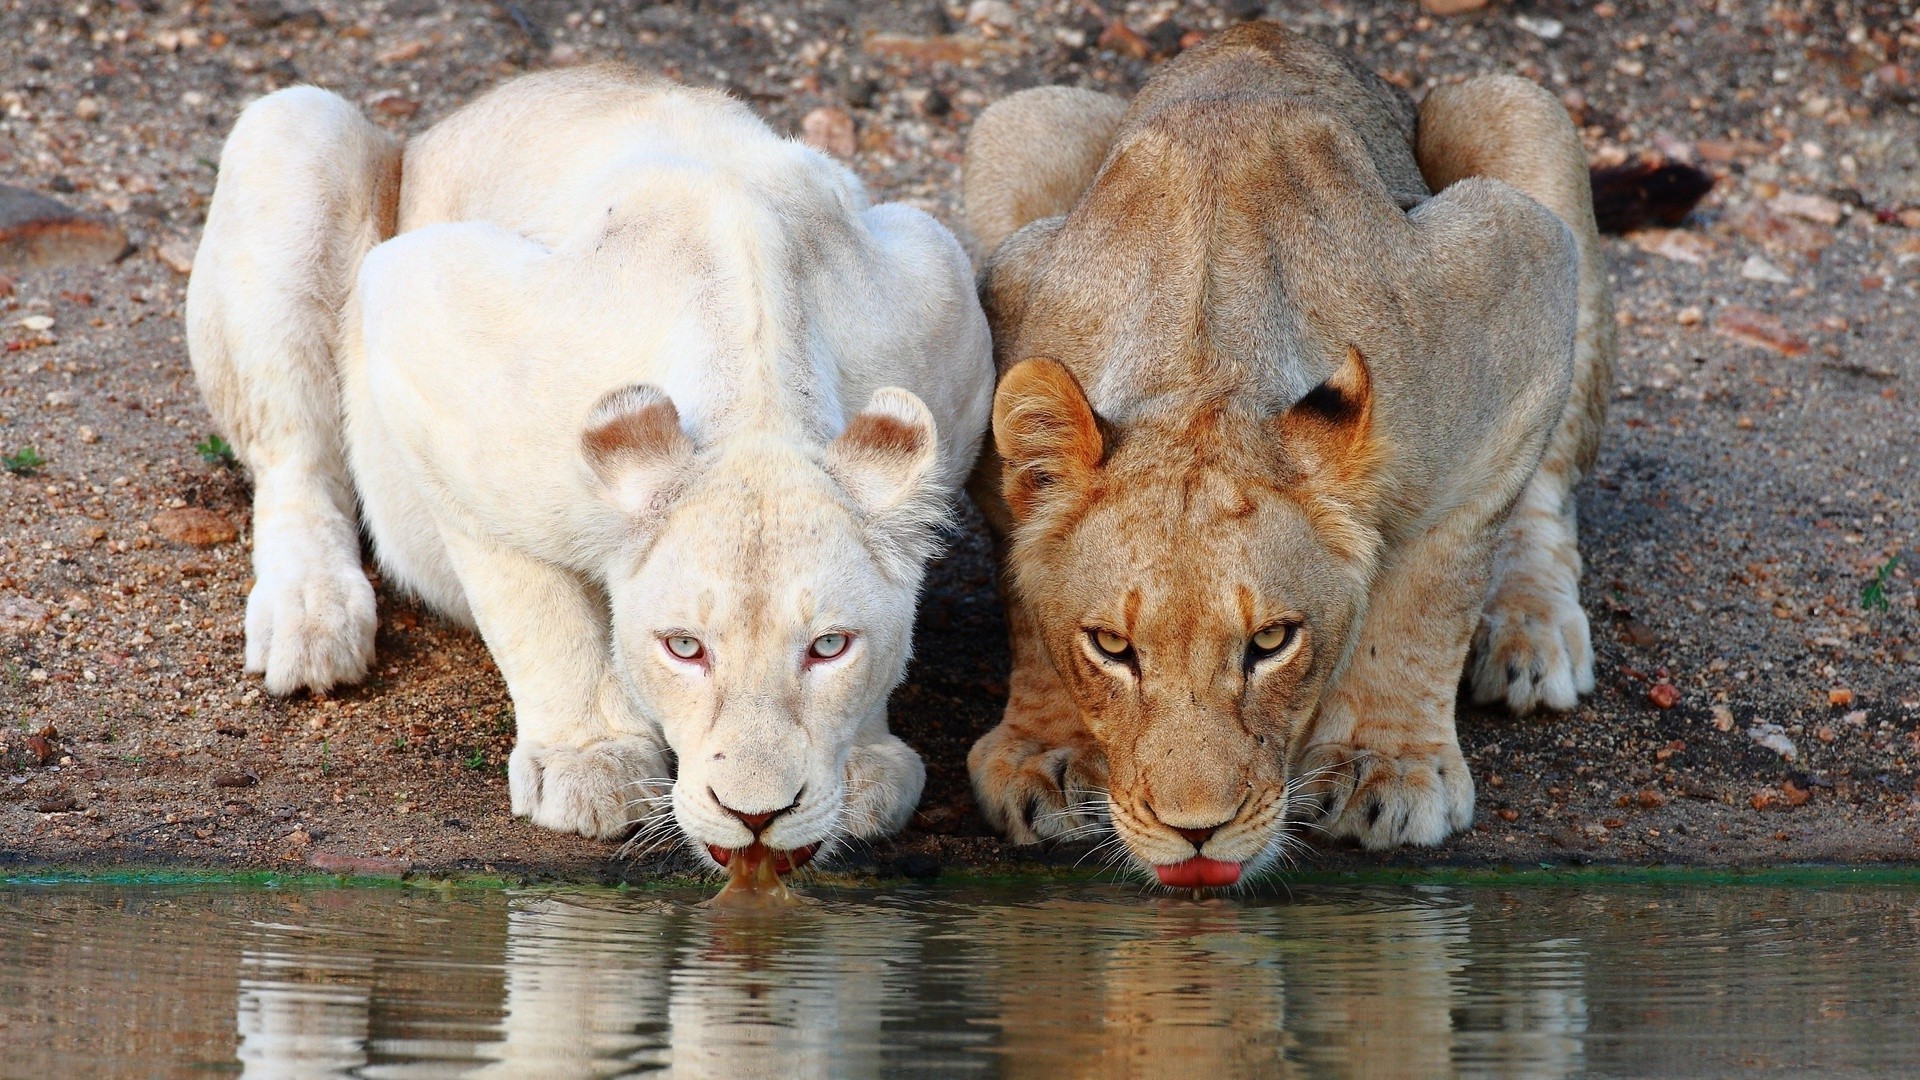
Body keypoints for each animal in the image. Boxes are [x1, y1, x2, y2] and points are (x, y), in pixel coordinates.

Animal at [185, 67, 994, 872]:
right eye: (683, 647)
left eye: (829, 647)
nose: (756, 816)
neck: (758, 392)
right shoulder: (426, 326)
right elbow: (534, 605)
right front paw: (591, 763)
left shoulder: (945, 297)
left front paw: (865, 765)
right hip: (296, 131)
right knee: (295, 455)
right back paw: (310, 621)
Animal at [960, 22, 1613, 884]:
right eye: (1112, 648)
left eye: (1271, 643)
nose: (1196, 832)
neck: (1203, 368)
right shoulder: (1005, 314)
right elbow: (1027, 599)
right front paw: (1051, 752)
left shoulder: (1517, 274)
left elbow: (1432, 589)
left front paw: (1384, 764)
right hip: (1021, 122)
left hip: (1519, 111)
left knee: (1546, 493)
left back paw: (1532, 635)